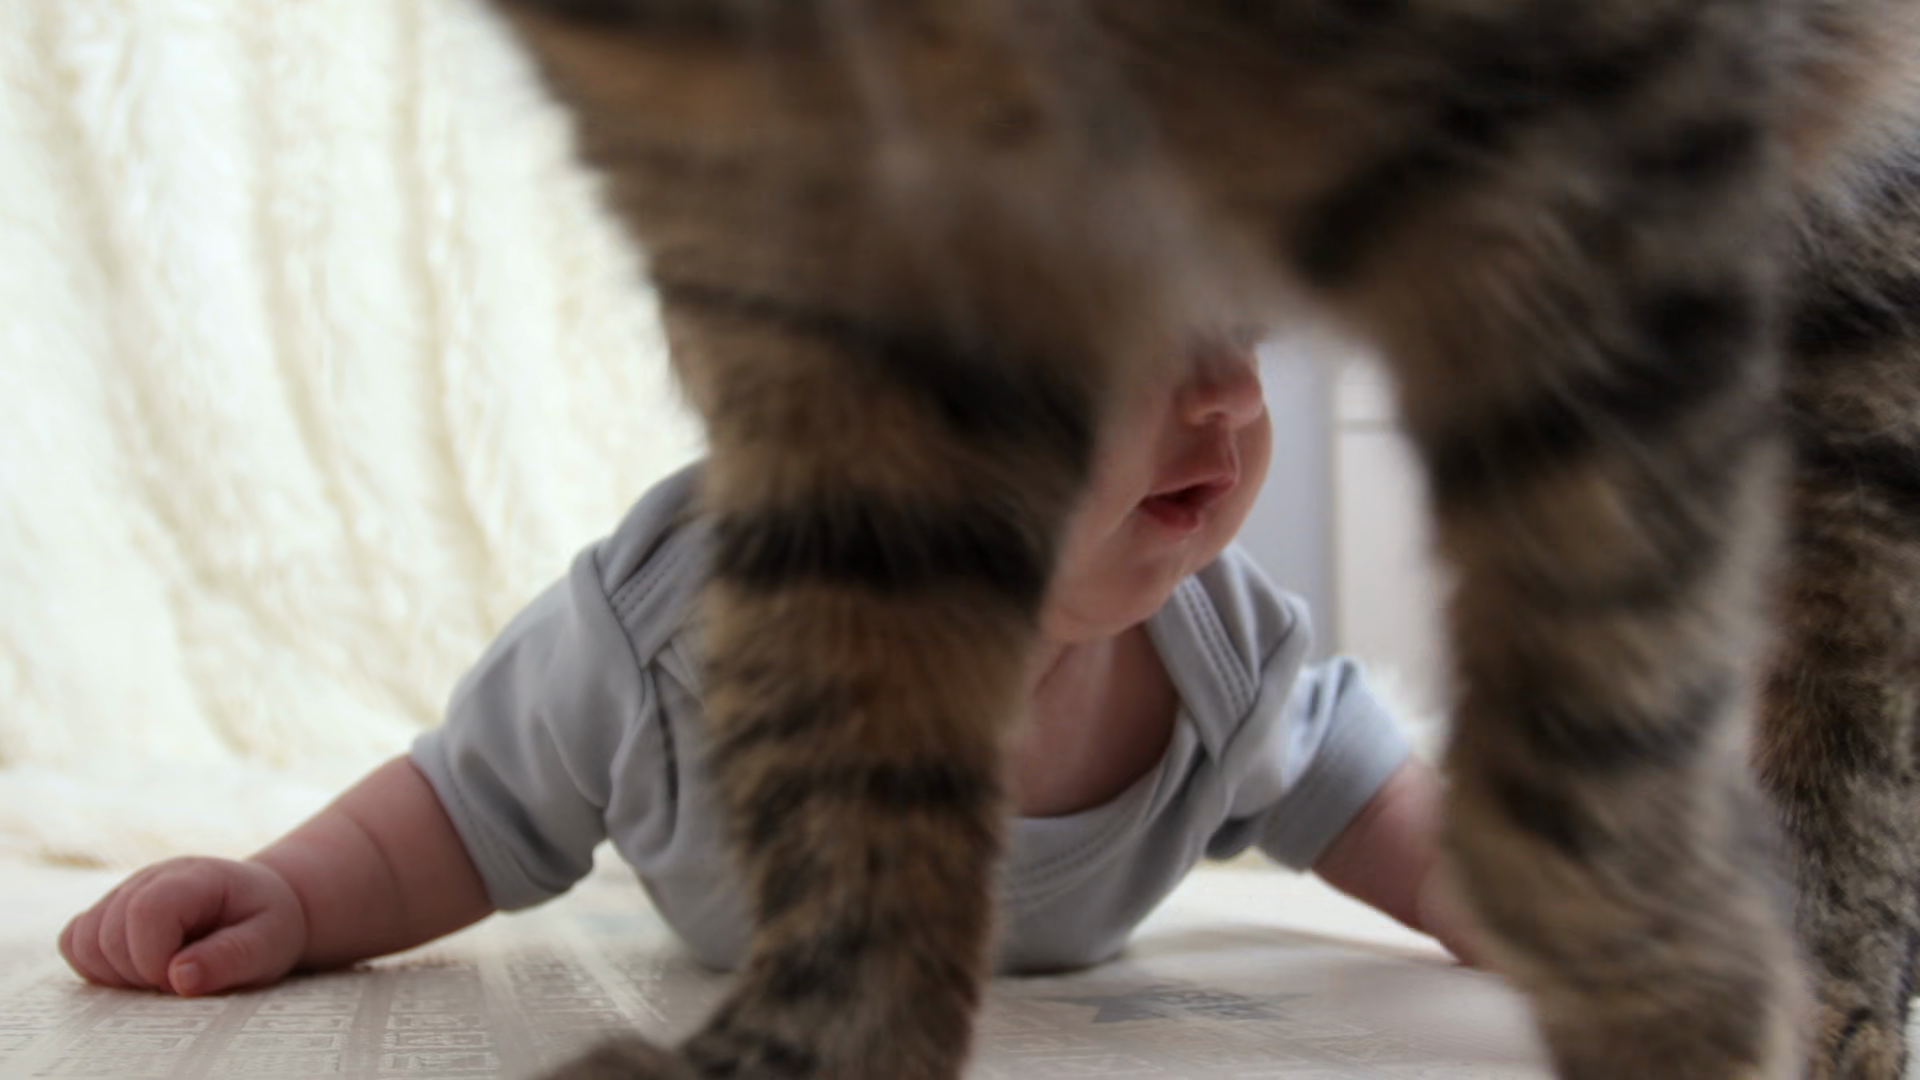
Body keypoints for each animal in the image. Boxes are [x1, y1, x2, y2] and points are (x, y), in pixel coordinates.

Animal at [480, 1, 1920, 1077]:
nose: (1221, 411)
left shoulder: (1596, 157)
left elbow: (1589, 759)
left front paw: (1689, 1020)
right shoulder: (836, 294)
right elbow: (853, 752)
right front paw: (816, 1047)